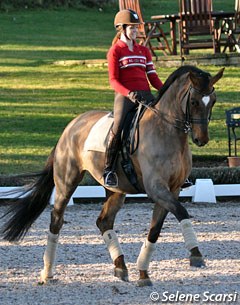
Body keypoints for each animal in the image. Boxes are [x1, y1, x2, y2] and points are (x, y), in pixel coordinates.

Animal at [0, 64, 224, 284]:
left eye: (213, 101)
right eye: (194, 101)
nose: (202, 139)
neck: (167, 131)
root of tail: (71, 126)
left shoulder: (173, 189)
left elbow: (155, 229)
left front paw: (143, 273)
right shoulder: (156, 188)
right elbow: (182, 212)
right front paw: (196, 255)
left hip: (115, 189)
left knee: (104, 221)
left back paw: (120, 266)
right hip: (67, 181)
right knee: (56, 219)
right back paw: (47, 273)